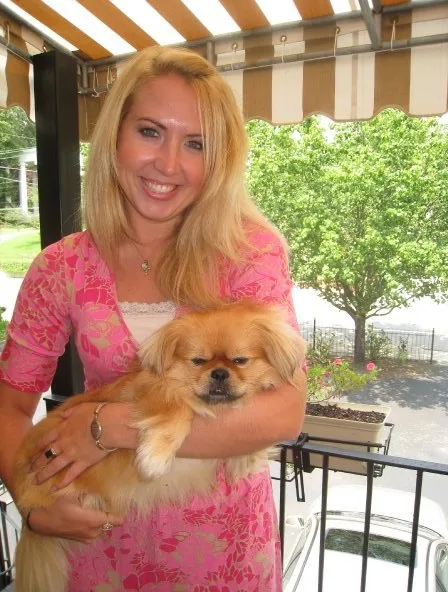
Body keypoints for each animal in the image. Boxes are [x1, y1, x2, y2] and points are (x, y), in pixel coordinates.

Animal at [12, 302, 306, 588]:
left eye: (240, 361)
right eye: (198, 361)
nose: (220, 373)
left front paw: (246, 458)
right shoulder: (150, 392)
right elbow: (177, 409)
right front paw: (154, 458)